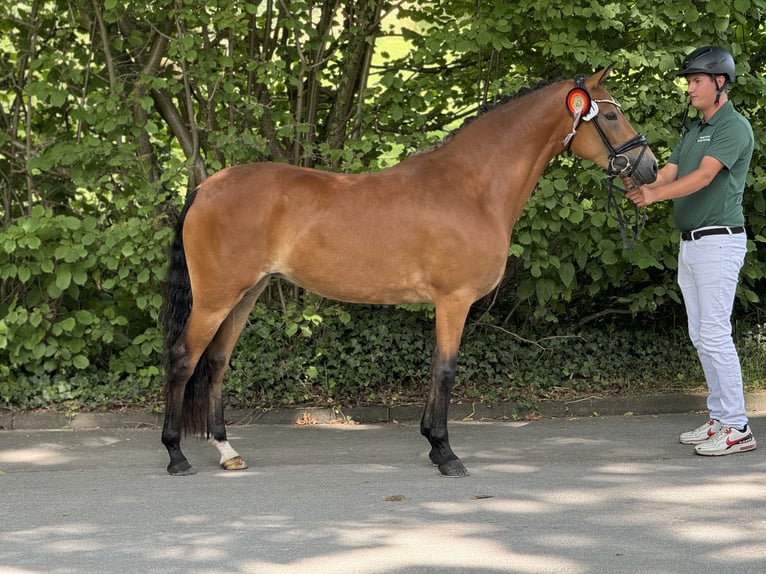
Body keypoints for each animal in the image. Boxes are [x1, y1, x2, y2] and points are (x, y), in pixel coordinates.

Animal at [161, 66, 657, 477]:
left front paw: (435, 448)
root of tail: (206, 187)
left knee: (217, 361)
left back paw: (227, 452)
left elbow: (437, 368)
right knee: (184, 358)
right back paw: (176, 455)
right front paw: (447, 454)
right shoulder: (454, 300)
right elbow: (446, 371)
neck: (470, 187)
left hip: (245, 295)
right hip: (215, 299)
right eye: (610, 116)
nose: (649, 167)